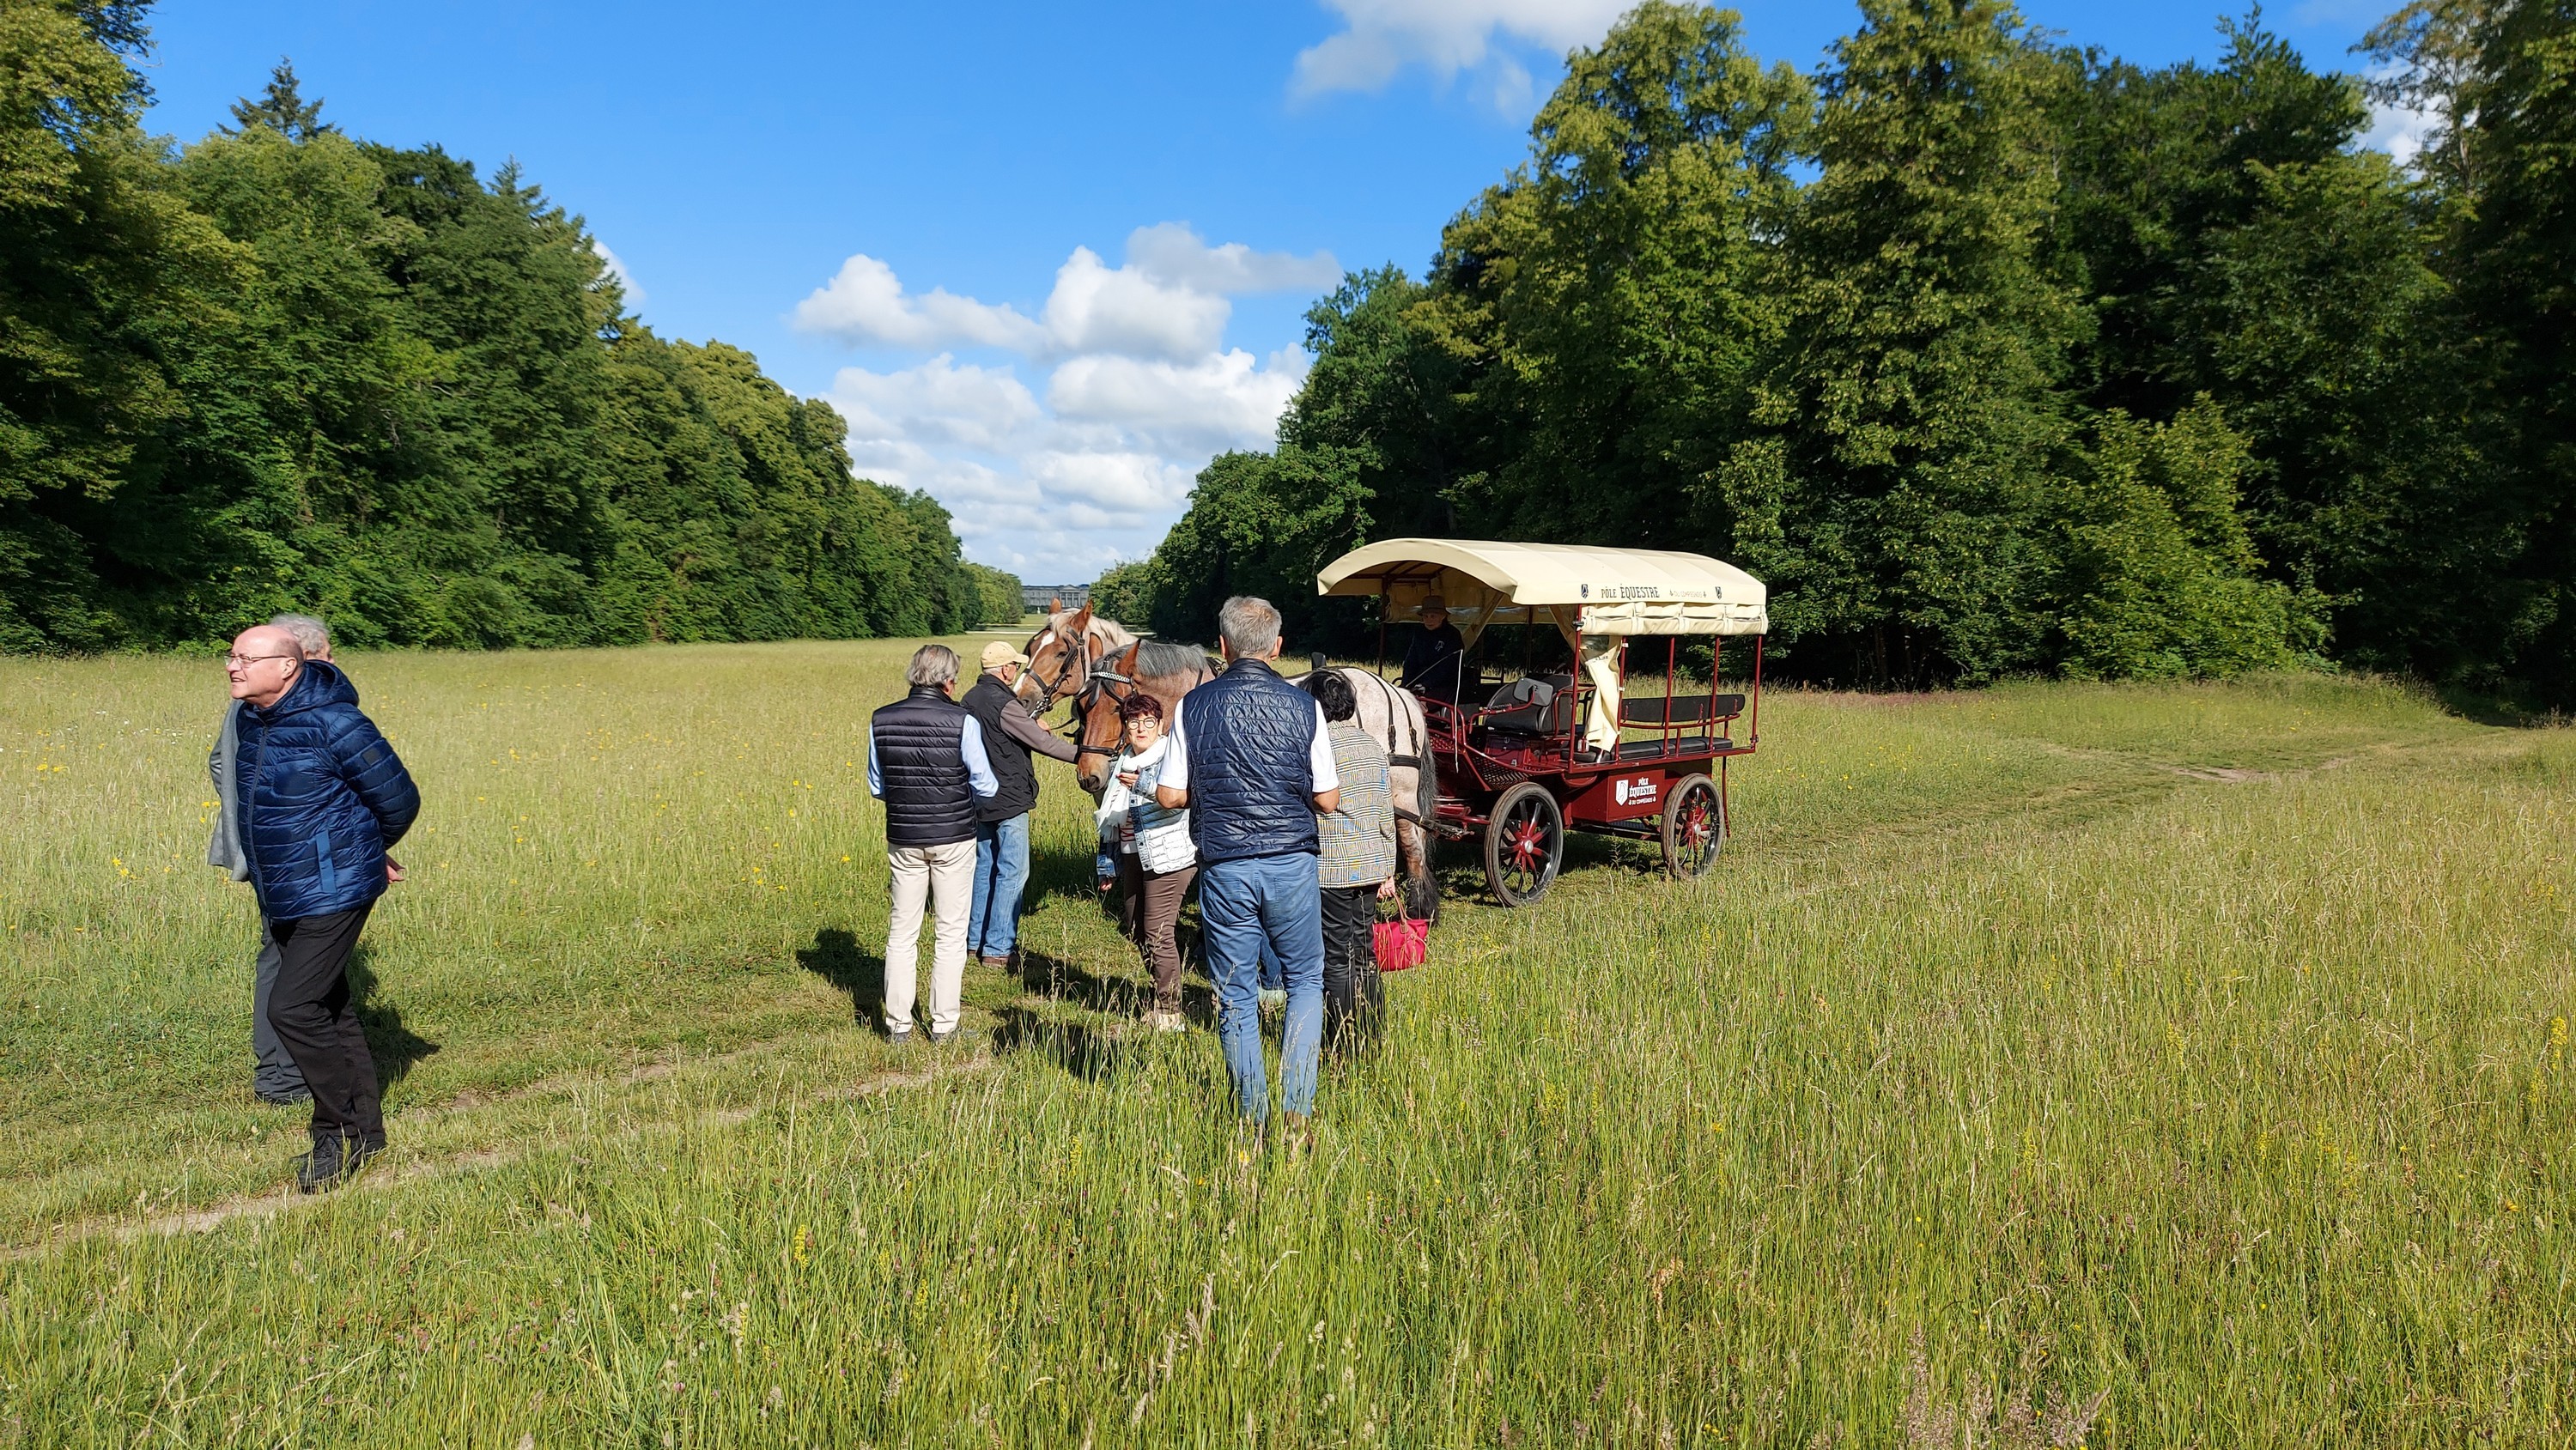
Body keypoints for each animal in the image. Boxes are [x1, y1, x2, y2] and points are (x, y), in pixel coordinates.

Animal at [1025, 610, 1443, 917]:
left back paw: (1420, 909)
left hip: (1399, 792)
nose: (1089, 776)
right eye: (1083, 705)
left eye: (1061, 653)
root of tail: (1399, 691)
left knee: (1413, 843)